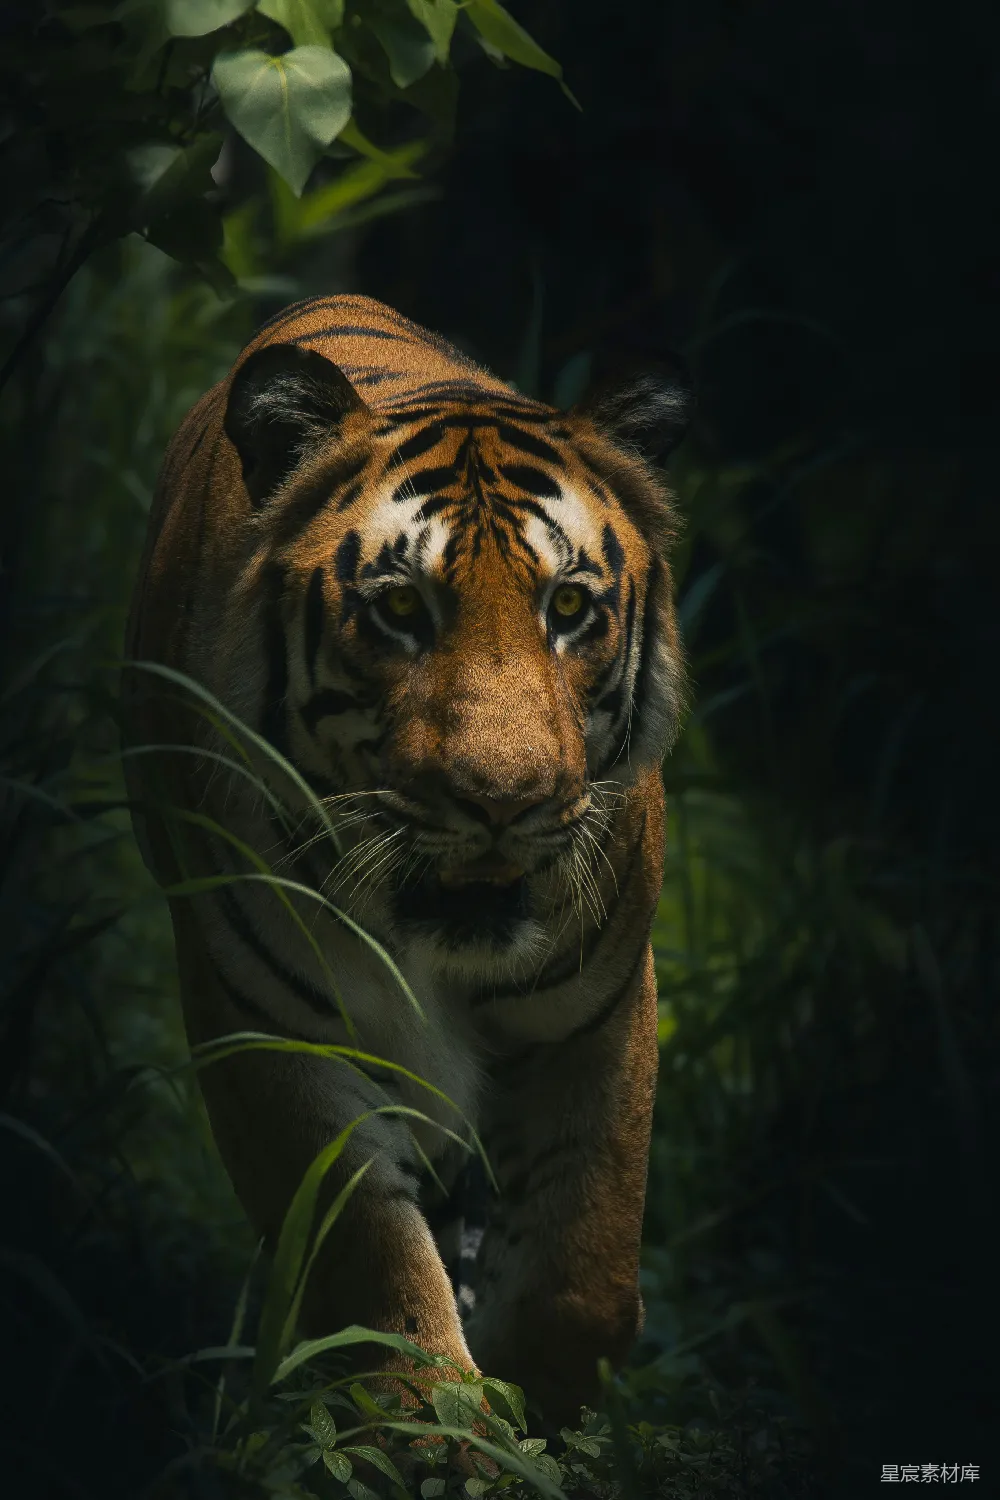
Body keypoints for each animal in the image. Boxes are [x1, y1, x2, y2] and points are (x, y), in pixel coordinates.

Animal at [124, 294, 689, 1427]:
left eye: (569, 609)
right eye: (397, 609)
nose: (504, 800)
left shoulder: (598, 1014)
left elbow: (584, 1275)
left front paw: (541, 1406)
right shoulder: (269, 1029)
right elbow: (370, 1263)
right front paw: (439, 1432)